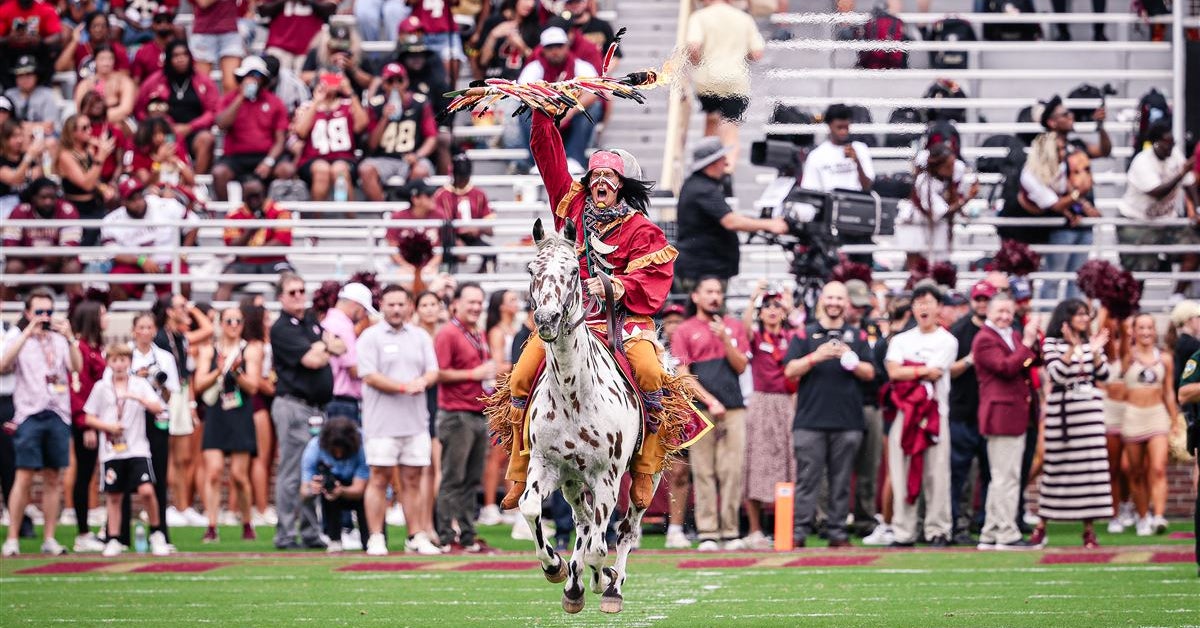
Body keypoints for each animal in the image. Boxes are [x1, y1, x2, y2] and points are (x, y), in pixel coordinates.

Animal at [520, 219, 662, 614]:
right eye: (532, 270)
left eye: (572, 271)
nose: (547, 319)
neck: (574, 395)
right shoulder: (545, 465)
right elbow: (531, 509)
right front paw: (555, 567)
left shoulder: (607, 478)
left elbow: (601, 546)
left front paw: (602, 579)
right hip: (571, 481)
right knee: (582, 522)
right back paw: (575, 580)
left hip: (647, 477)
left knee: (625, 529)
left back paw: (612, 586)